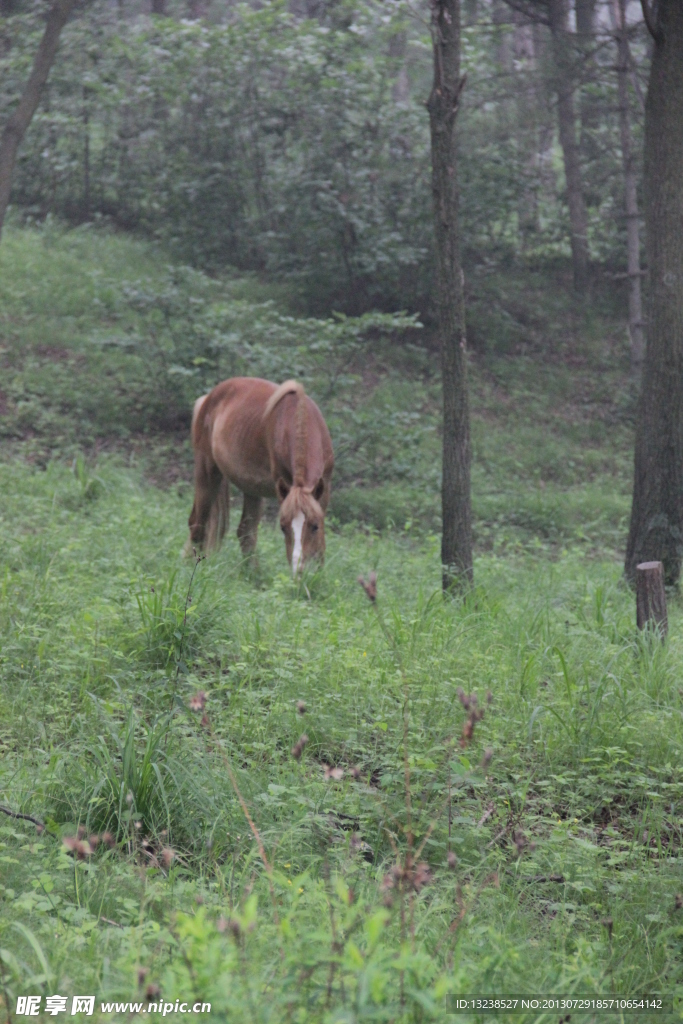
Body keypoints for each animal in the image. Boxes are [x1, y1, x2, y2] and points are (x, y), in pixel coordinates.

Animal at [185, 376, 335, 573]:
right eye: (283, 528)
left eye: (315, 526)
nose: (299, 572)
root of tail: (207, 399)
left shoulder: (323, 489)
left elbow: (322, 544)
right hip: (207, 472)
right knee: (198, 525)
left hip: (251, 489)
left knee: (245, 532)